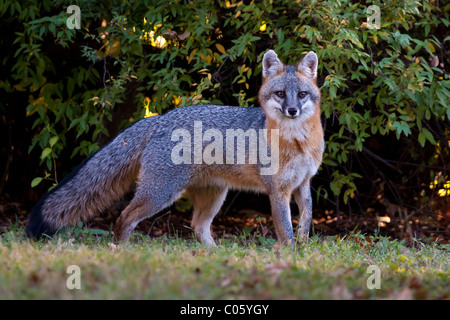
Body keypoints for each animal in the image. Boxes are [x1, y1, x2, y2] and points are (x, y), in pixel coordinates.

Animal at [26, 49, 324, 245]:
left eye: (301, 94)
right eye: (280, 94)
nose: (293, 110)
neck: (298, 142)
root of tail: (158, 118)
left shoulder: (303, 183)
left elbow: (307, 220)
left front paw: (304, 247)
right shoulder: (277, 191)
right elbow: (286, 232)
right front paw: (291, 256)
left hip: (214, 195)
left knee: (198, 227)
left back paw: (215, 256)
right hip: (161, 193)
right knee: (124, 217)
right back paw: (120, 250)